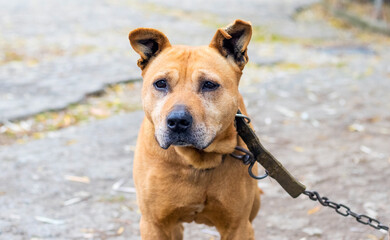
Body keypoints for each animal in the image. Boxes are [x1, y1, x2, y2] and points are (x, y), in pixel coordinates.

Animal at [129, 19, 260, 240]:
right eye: (161, 83)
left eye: (209, 84)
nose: (177, 121)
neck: (196, 161)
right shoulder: (154, 225)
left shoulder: (238, 227)